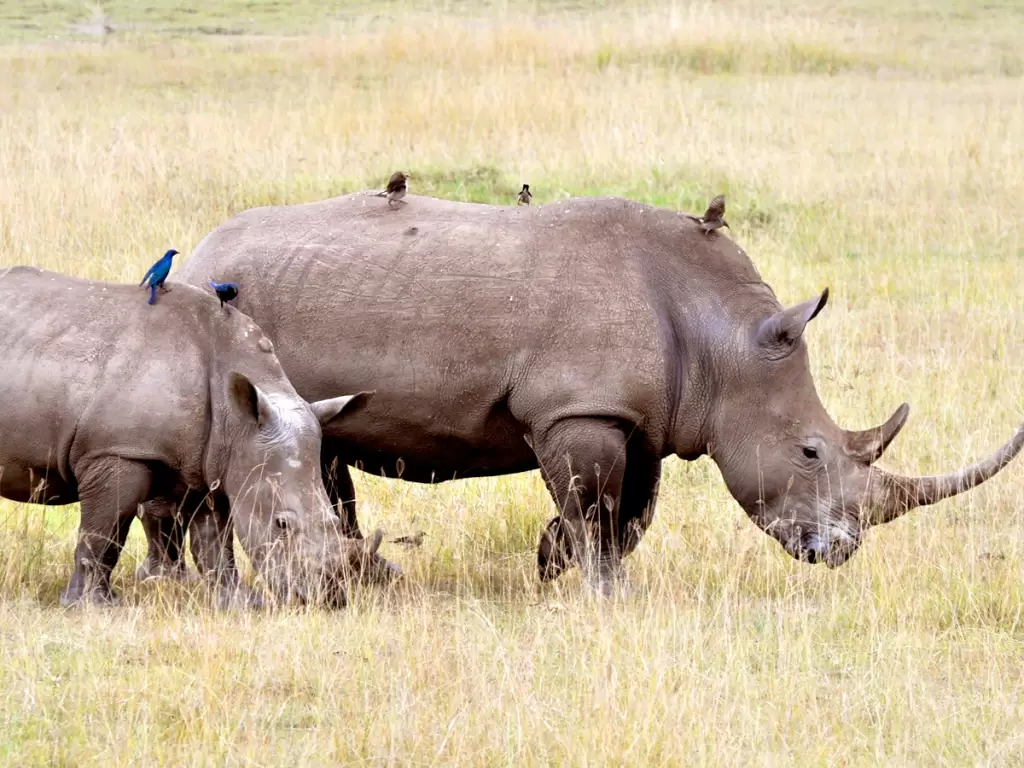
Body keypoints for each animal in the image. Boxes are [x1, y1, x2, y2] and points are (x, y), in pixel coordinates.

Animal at [0, 266, 388, 607]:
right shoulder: (116, 451)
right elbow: (103, 532)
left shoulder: (214, 460)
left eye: (335, 523)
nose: (330, 599)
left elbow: (215, 544)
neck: (238, 420)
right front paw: (92, 606)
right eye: (281, 524)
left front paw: (243, 605)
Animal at [152, 193, 1021, 594]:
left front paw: (551, 563)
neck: (724, 336)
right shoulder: (579, 410)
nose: (839, 550)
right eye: (809, 451)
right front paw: (601, 591)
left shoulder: (642, 419)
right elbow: (597, 505)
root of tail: (200, 249)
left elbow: (628, 512)